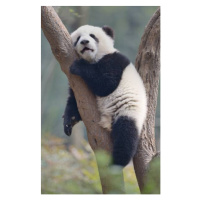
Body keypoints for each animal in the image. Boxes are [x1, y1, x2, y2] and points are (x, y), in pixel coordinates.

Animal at [63, 24, 148, 167]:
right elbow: (74, 100)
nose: (84, 42)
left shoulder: (115, 61)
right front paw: (69, 122)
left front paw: (79, 66)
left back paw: (117, 162)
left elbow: (107, 85)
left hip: (128, 112)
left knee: (126, 135)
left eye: (92, 36)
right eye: (78, 38)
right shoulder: (76, 84)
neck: (93, 59)